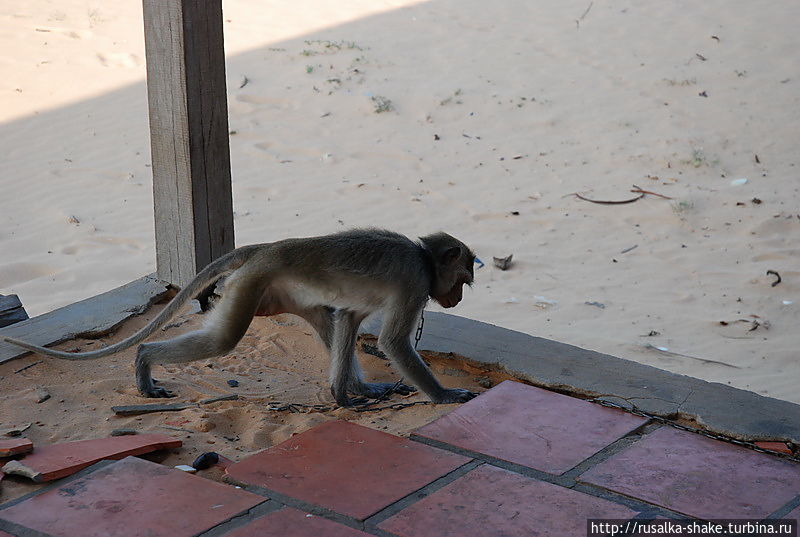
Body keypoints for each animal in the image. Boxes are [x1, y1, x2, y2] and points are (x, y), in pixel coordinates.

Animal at [3, 227, 478, 406]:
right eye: (463, 277)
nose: (456, 298)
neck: (423, 258)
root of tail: (269, 248)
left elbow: (347, 317)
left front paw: (348, 392)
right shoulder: (414, 281)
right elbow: (393, 342)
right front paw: (445, 396)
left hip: (281, 289)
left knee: (325, 318)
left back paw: (348, 391)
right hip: (251, 283)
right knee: (223, 340)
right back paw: (144, 359)